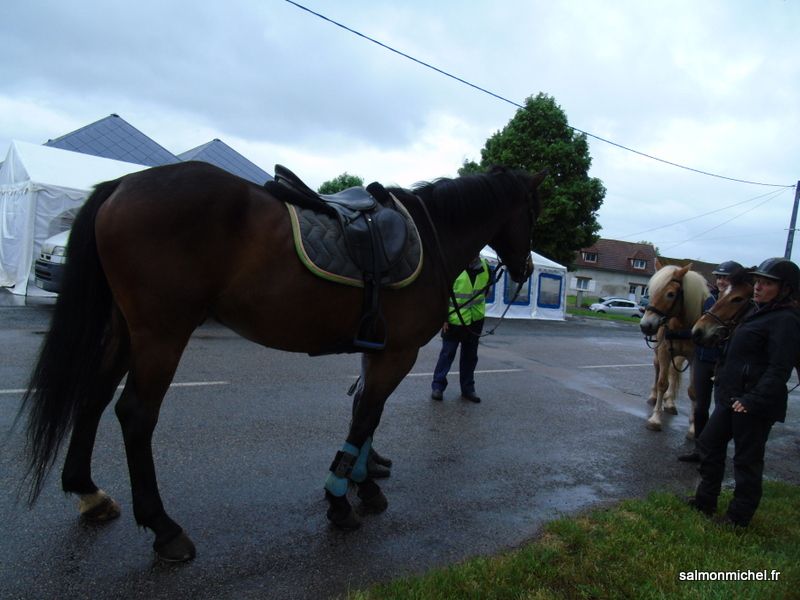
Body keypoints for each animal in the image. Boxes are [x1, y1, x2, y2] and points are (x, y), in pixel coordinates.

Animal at [18, 161, 548, 564]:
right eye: (533, 212)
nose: (525, 268)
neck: (431, 235)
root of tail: (123, 183)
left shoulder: (377, 351)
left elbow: (364, 416)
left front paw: (361, 485)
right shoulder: (399, 354)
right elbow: (366, 418)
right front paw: (340, 499)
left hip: (126, 329)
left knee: (93, 395)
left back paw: (87, 491)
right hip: (161, 333)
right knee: (136, 415)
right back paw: (164, 527)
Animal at [640, 264, 708, 434]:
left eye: (670, 294)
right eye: (650, 291)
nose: (645, 325)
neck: (681, 326)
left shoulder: (694, 358)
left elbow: (693, 391)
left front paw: (693, 427)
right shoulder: (664, 352)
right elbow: (662, 383)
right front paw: (655, 419)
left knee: (674, 372)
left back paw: (670, 402)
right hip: (658, 354)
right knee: (658, 371)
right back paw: (653, 397)